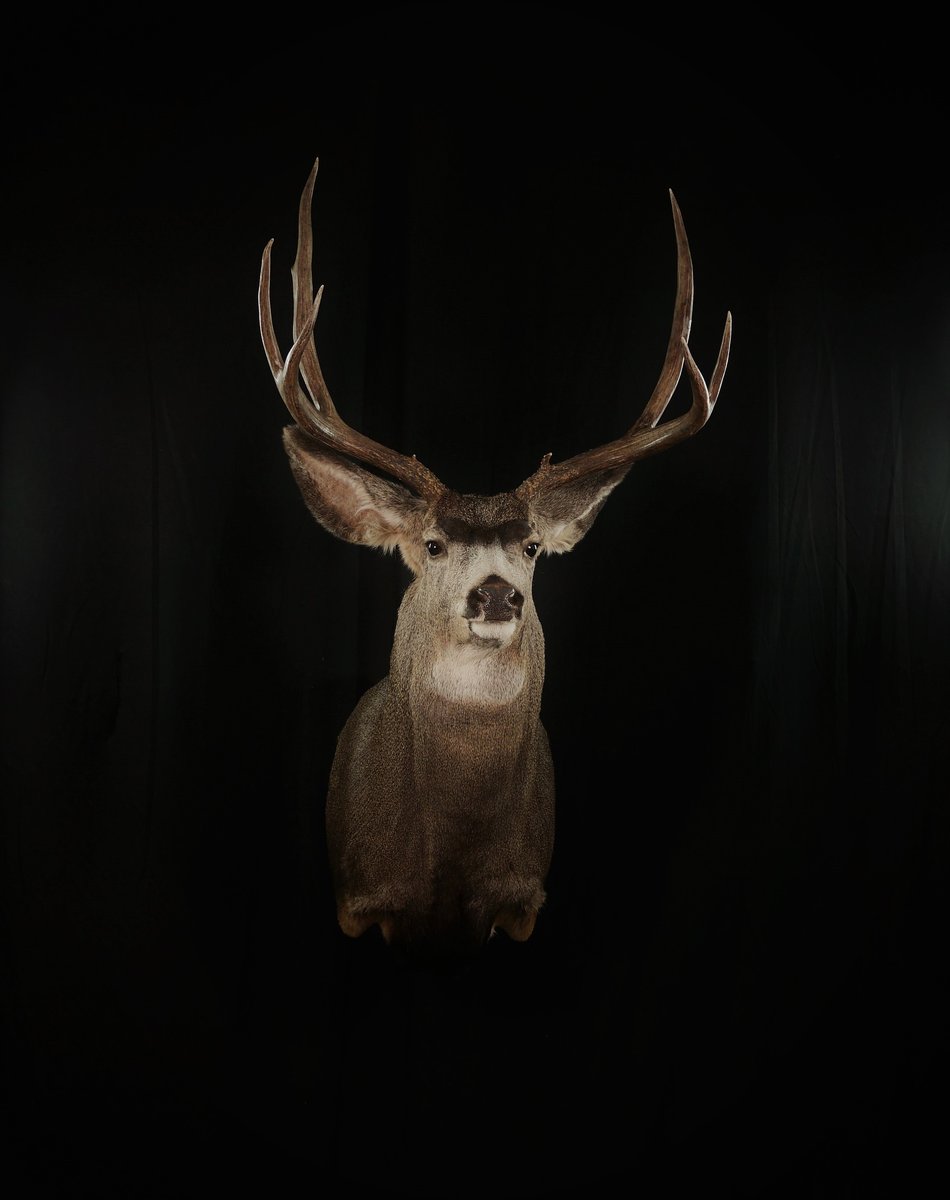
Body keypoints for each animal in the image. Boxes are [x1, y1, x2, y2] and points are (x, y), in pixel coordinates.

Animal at [258, 158, 731, 965]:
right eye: (432, 546)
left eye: (532, 548)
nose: (496, 595)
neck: (450, 853)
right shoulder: (363, 900)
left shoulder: (521, 900)